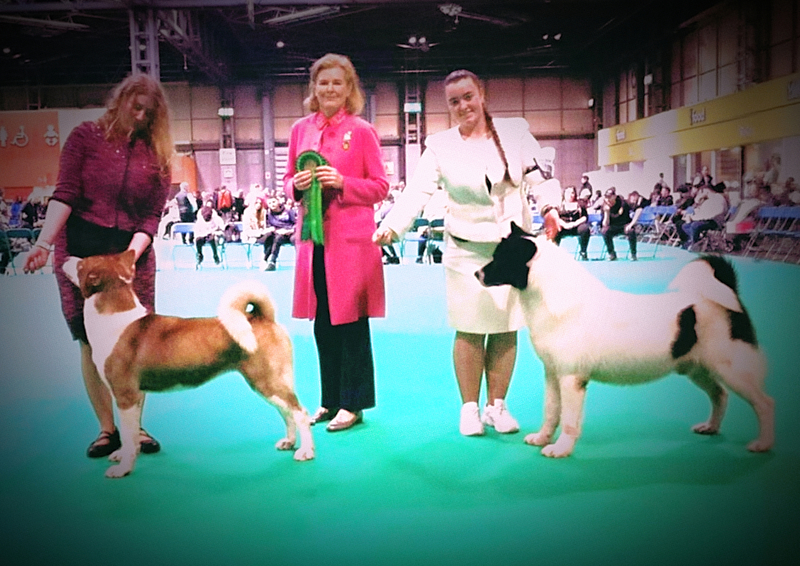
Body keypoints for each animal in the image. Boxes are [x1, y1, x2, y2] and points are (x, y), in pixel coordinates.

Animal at [62, 249, 314, 478]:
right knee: (287, 412)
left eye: (81, 264)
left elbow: (129, 435)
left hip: (267, 380)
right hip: (267, 383)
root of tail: (263, 318)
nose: (65, 258)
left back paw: (306, 452)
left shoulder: (126, 395)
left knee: (300, 412)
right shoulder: (130, 396)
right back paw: (289, 442)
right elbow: (131, 435)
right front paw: (122, 455)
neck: (114, 320)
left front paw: (123, 468)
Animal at [476, 222, 774, 458]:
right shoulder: (553, 373)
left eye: (501, 258)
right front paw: (542, 438)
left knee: (764, 403)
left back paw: (763, 444)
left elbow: (569, 420)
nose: (477, 274)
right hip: (698, 368)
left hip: (732, 370)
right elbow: (551, 411)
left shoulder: (571, 379)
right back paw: (710, 427)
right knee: (720, 395)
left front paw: (561, 449)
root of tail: (731, 298)